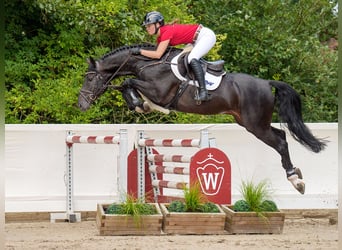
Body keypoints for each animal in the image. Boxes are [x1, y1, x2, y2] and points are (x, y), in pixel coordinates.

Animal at [77, 44, 326, 194]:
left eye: (89, 79)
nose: (81, 104)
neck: (147, 63)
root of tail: (266, 83)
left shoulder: (159, 91)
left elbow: (129, 83)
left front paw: (141, 104)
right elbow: (127, 85)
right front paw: (140, 105)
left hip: (256, 125)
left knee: (281, 142)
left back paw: (296, 180)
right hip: (250, 123)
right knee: (282, 134)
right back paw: (296, 175)